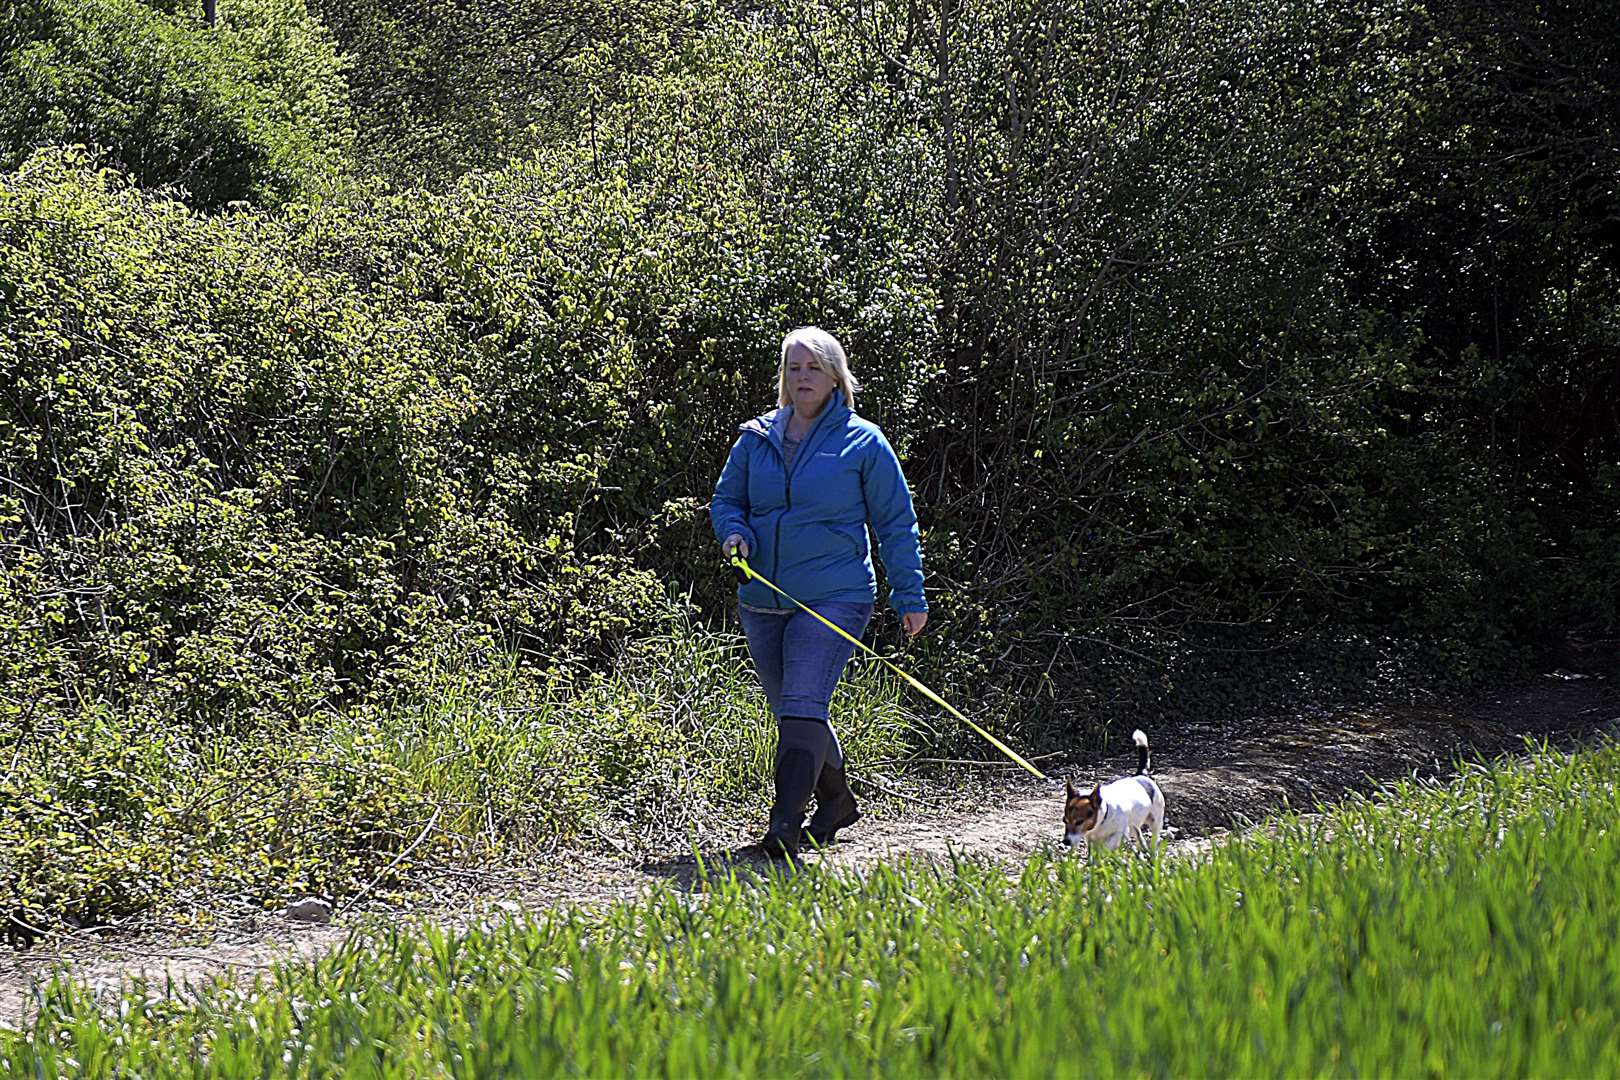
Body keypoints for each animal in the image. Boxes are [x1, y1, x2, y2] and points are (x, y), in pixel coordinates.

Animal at [1062, 725, 1166, 861]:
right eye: (1064, 821)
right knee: (1139, 836)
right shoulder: (1091, 838)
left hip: (1155, 821)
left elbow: (1107, 846)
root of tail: (1141, 775)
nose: (1066, 842)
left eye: (1079, 821)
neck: (1103, 816)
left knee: (1153, 838)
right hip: (1134, 825)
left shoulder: (1119, 833)